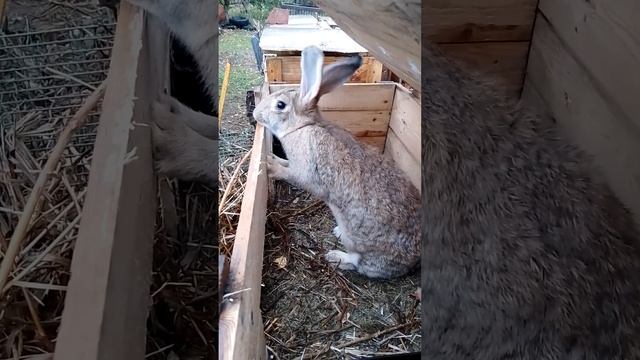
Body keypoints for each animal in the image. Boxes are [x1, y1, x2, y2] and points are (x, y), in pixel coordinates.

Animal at [252, 47, 422, 278]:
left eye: (280, 105)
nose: (255, 113)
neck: (302, 127)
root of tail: (413, 261)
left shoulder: (305, 171)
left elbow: (292, 175)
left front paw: (271, 166)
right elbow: (286, 164)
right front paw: (273, 158)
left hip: (361, 247)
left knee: (359, 264)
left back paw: (336, 255)